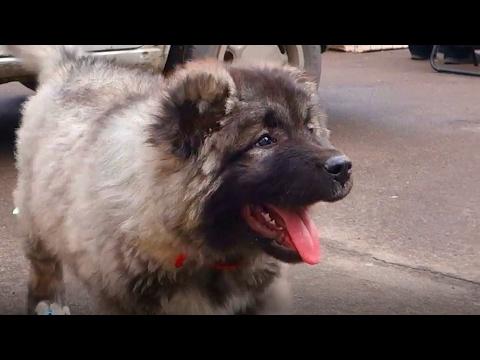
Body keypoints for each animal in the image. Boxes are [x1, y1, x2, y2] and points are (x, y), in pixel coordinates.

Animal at [9, 45, 350, 316]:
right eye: (265, 140)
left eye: (310, 130)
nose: (343, 167)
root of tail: (73, 64)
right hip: (35, 209)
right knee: (43, 264)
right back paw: (48, 303)